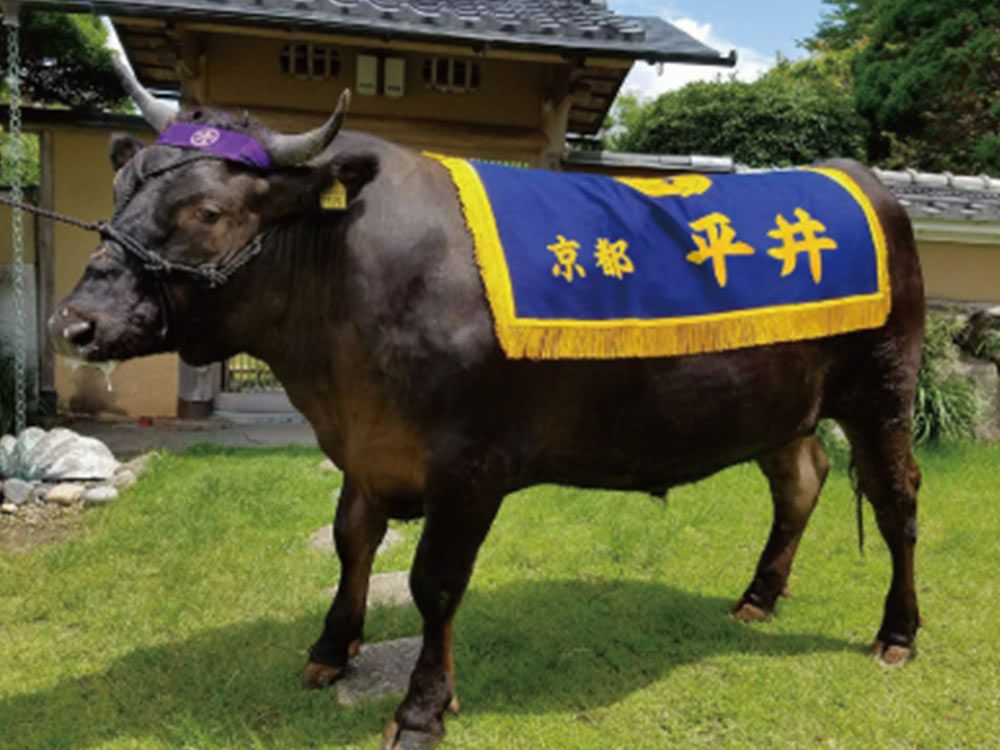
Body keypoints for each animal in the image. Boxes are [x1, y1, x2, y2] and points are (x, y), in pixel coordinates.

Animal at [50, 67, 924, 750]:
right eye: (122, 191)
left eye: (208, 213)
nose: (76, 323)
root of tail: (858, 175)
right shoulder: (369, 446)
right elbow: (352, 542)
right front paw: (332, 646)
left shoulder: (469, 467)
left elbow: (436, 582)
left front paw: (422, 710)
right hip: (780, 402)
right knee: (801, 479)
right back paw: (759, 597)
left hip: (882, 388)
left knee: (896, 502)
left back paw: (897, 633)